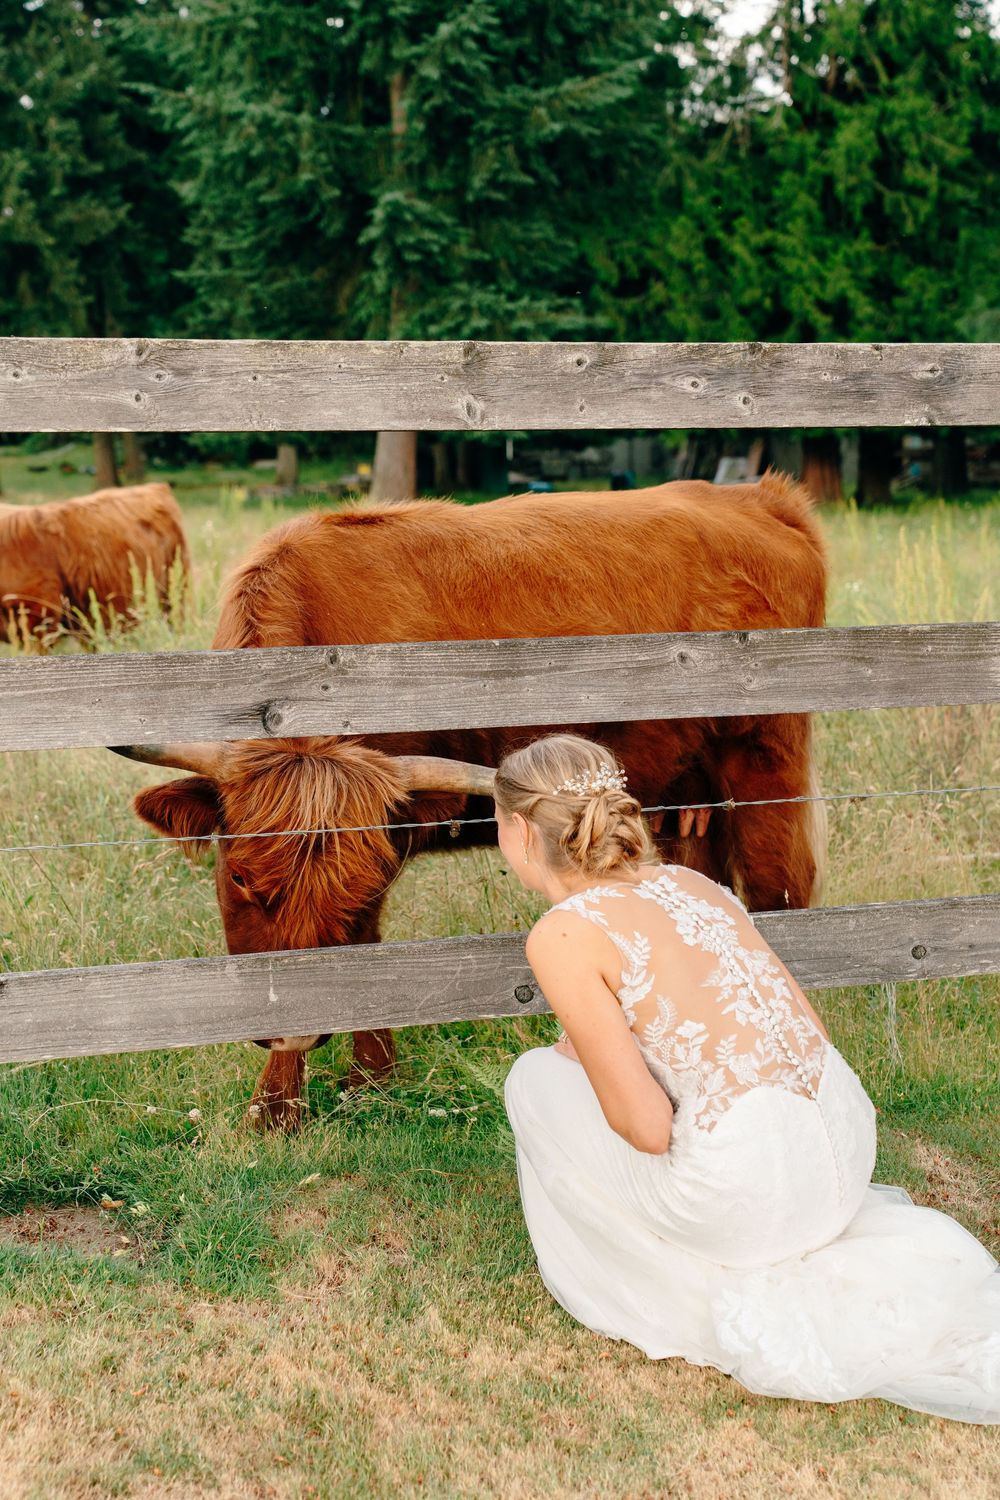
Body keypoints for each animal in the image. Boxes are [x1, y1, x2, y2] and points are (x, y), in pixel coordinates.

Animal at [114, 471, 828, 1130]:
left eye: (351, 894)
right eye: (238, 875)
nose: (297, 1028)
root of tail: (759, 497)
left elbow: (366, 944)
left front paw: (337, 1087)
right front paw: (297, 1100)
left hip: (766, 763)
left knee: (781, 884)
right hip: (685, 794)